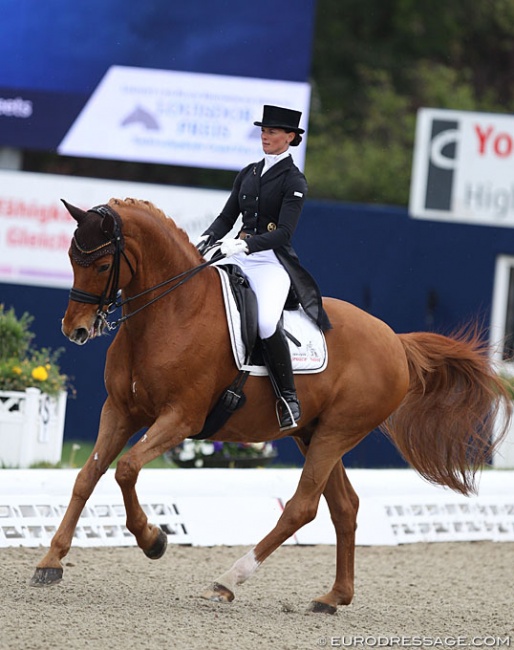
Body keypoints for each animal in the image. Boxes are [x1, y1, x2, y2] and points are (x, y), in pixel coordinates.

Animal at [31, 197, 508, 612]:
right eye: (72, 258)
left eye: (103, 265)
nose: (75, 329)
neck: (172, 311)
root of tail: (395, 340)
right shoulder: (120, 410)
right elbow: (87, 477)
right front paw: (50, 563)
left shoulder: (181, 419)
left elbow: (126, 469)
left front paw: (154, 540)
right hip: (312, 433)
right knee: (344, 507)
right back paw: (332, 597)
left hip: (337, 433)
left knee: (302, 507)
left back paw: (228, 580)